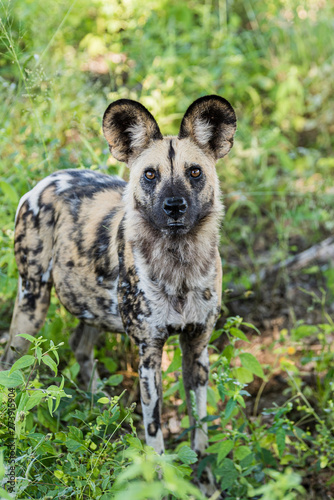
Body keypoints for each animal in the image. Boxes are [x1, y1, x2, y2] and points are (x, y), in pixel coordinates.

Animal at [2, 95, 237, 462]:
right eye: (150, 174)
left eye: (195, 172)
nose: (174, 206)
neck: (179, 265)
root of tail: (45, 181)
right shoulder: (149, 354)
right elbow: (154, 434)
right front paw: (159, 473)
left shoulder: (197, 346)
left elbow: (199, 429)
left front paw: (203, 473)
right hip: (32, 304)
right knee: (10, 367)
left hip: (94, 308)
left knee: (80, 348)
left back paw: (105, 413)